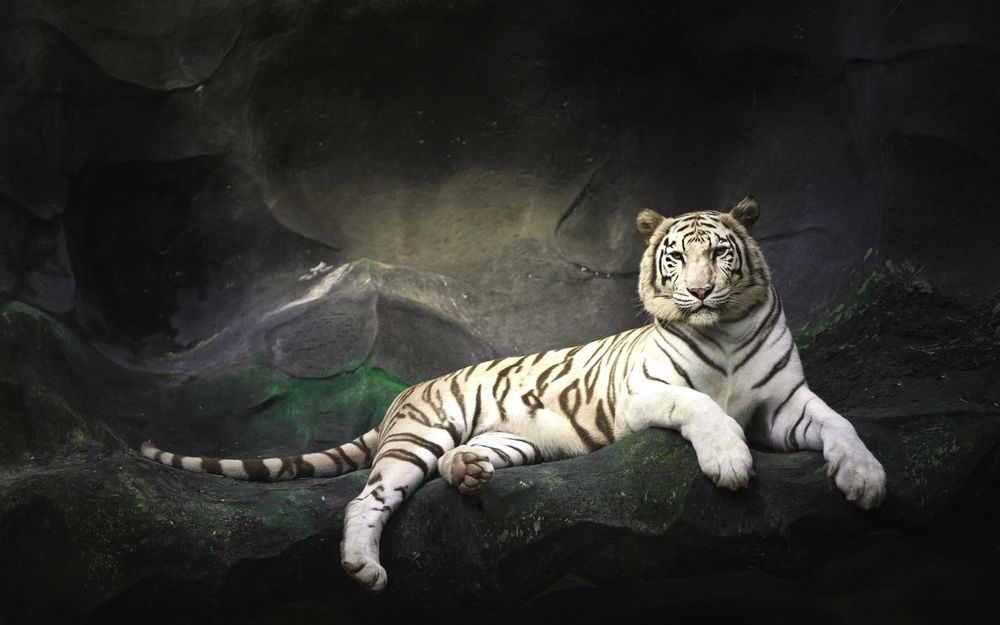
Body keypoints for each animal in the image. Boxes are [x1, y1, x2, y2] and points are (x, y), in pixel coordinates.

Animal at [141, 196, 886, 593]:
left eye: (721, 254)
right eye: (677, 257)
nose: (700, 291)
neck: (723, 330)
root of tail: (402, 396)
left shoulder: (786, 404)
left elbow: (841, 423)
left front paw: (867, 479)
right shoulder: (644, 392)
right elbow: (700, 405)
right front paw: (729, 463)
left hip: (510, 437)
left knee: (458, 464)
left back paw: (470, 472)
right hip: (421, 435)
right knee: (367, 496)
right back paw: (363, 566)